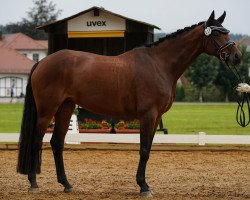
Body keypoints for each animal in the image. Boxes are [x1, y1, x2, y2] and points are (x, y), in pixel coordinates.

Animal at [16, 10, 241, 197]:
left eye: (227, 32)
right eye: (217, 34)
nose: (237, 57)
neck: (159, 64)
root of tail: (42, 62)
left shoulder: (156, 117)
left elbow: (147, 148)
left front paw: (144, 184)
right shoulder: (148, 115)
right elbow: (143, 150)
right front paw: (143, 186)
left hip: (66, 107)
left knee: (57, 143)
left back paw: (66, 184)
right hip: (47, 110)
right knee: (37, 141)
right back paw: (34, 183)